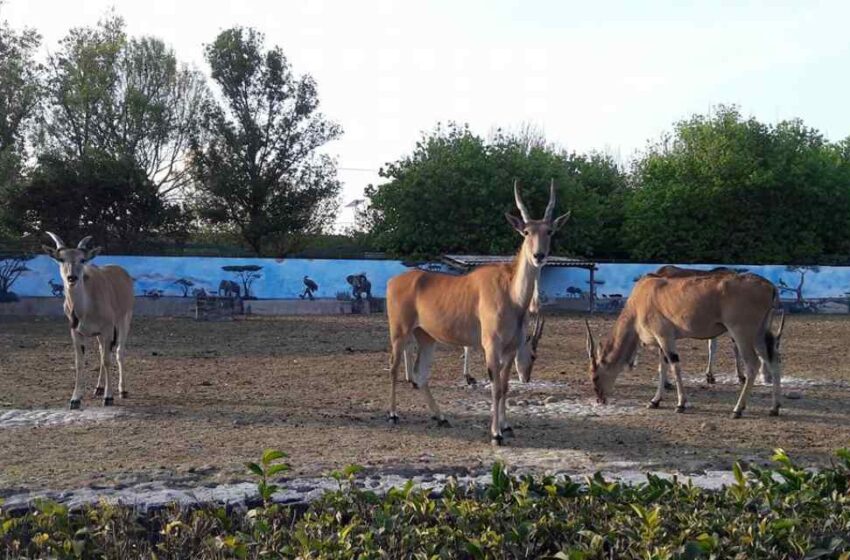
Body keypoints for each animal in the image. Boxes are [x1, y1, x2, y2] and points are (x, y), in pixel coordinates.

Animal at [42, 230, 133, 410]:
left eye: (82, 260)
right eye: (61, 259)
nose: (72, 278)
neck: (85, 308)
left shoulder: (107, 329)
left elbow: (107, 360)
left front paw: (109, 397)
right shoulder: (76, 332)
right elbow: (80, 362)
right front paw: (75, 399)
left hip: (124, 320)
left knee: (118, 352)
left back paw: (122, 390)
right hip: (100, 334)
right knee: (102, 351)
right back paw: (98, 388)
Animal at [386, 182, 568, 444]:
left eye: (550, 231)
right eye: (526, 232)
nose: (539, 256)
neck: (512, 294)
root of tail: (393, 281)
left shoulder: (510, 349)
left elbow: (505, 386)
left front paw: (507, 426)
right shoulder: (491, 346)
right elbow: (495, 387)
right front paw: (496, 433)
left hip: (426, 337)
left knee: (421, 375)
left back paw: (441, 417)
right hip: (399, 332)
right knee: (393, 368)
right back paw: (393, 414)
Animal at [584, 270, 780, 418]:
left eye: (595, 377)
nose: (600, 399)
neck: (640, 299)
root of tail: (769, 286)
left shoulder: (665, 337)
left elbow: (674, 366)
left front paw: (680, 404)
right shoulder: (662, 342)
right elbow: (662, 368)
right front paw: (655, 401)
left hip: (741, 333)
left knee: (753, 364)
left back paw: (737, 409)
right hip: (760, 334)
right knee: (773, 359)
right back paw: (774, 408)